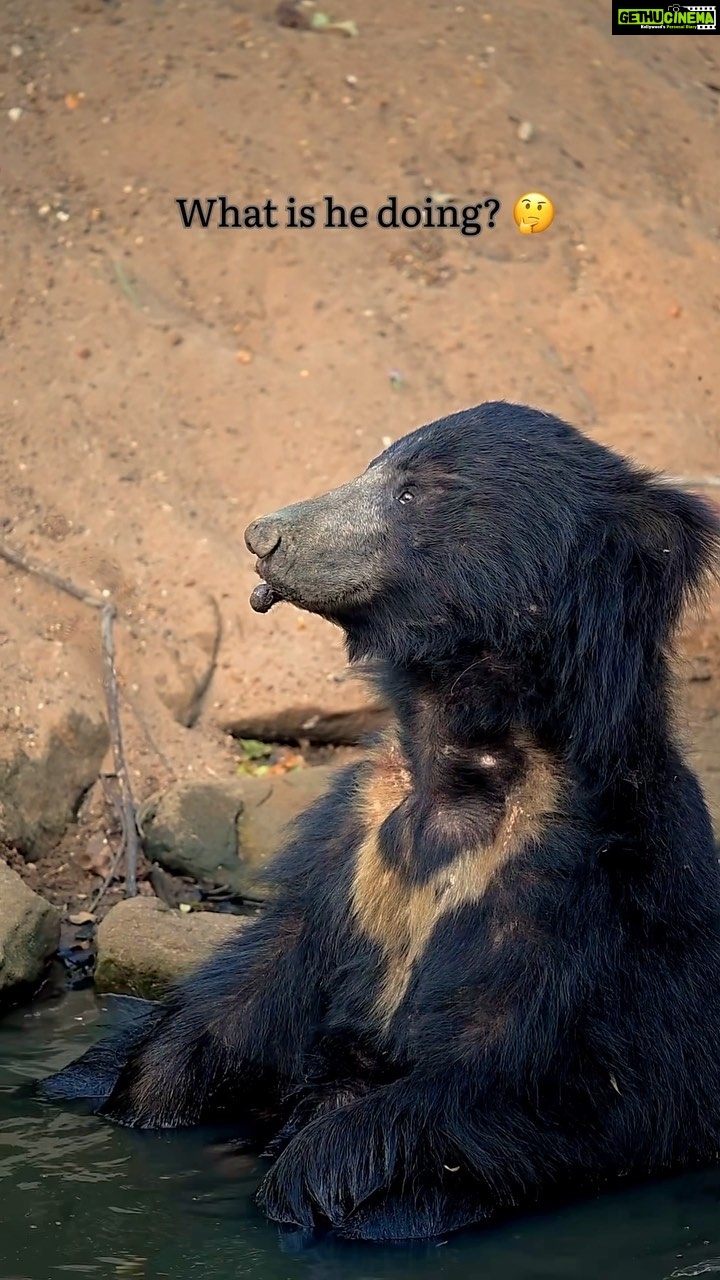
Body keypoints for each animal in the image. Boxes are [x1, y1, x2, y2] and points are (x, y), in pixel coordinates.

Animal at [43, 400, 720, 1244]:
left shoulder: (581, 896)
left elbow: (521, 1076)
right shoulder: (352, 841)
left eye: (413, 493)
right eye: (373, 468)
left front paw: (312, 1177)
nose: (265, 536)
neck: (462, 758)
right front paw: (152, 1091)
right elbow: (257, 987)